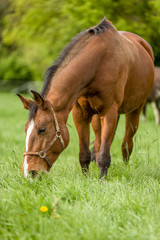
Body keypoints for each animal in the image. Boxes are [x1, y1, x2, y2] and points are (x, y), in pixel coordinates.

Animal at [17, 17, 154, 178]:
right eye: (26, 129)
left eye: (42, 129)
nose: (29, 172)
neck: (98, 64)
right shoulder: (80, 114)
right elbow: (84, 153)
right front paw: (86, 178)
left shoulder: (110, 113)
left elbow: (105, 155)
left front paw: (102, 180)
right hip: (96, 117)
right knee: (98, 143)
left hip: (135, 111)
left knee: (126, 144)